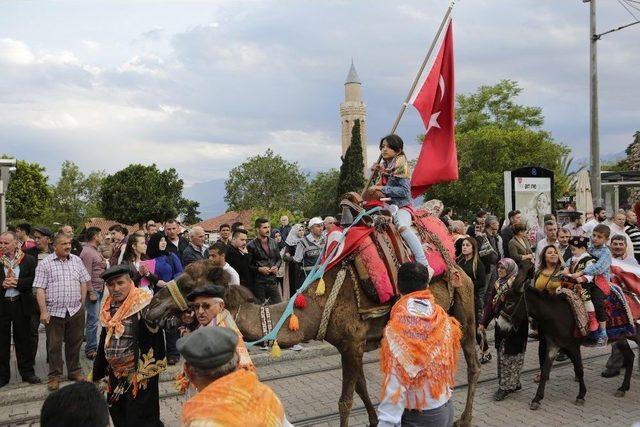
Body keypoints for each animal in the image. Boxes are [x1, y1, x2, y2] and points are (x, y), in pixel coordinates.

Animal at [148, 256, 478, 426]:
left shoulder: (352, 343)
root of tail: (461, 269)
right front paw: (374, 420)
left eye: (187, 282)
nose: (152, 306)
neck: (318, 305)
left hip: (466, 309)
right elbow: (361, 388)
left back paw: (463, 417)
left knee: (472, 362)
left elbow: (345, 401)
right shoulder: (351, 346)